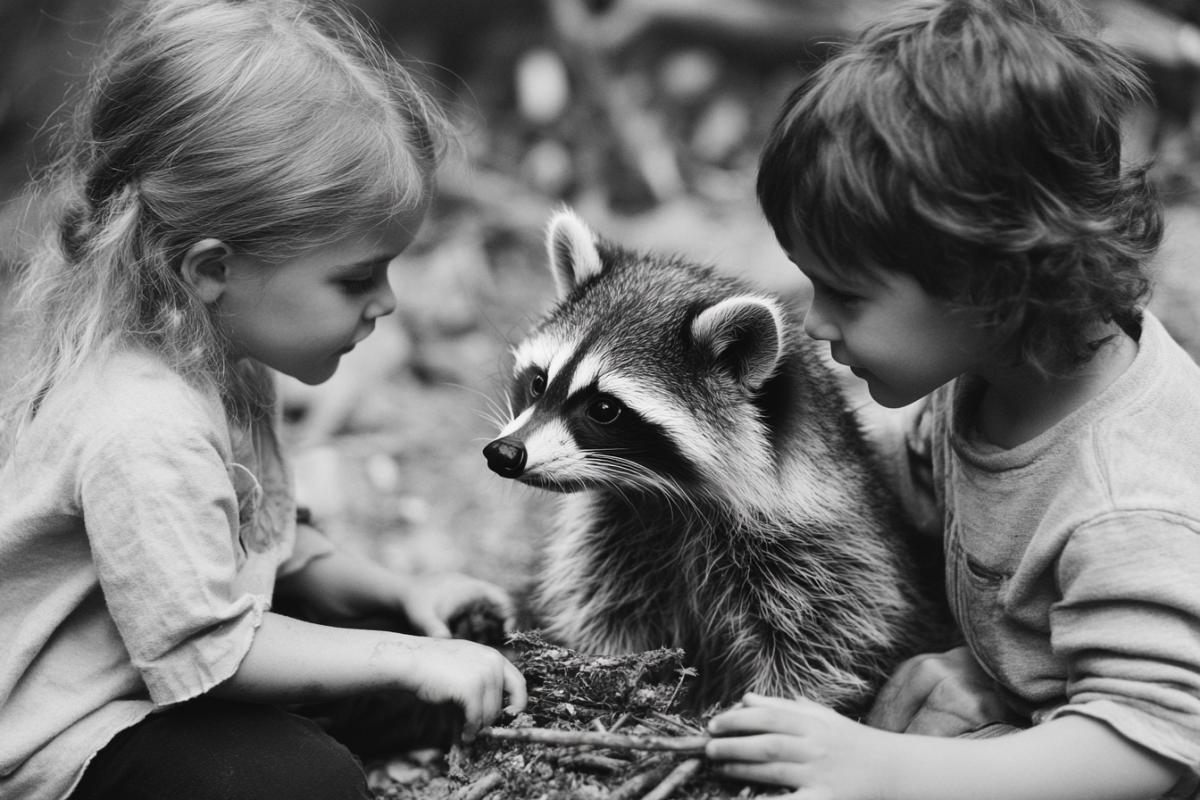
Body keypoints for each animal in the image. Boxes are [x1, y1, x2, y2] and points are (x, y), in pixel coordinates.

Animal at [483, 208, 947, 714]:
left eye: (604, 408)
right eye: (538, 382)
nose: (504, 453)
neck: (663, 498)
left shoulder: (827, 556)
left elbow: (827, 646)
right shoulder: (617, 535)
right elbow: (608, 610)